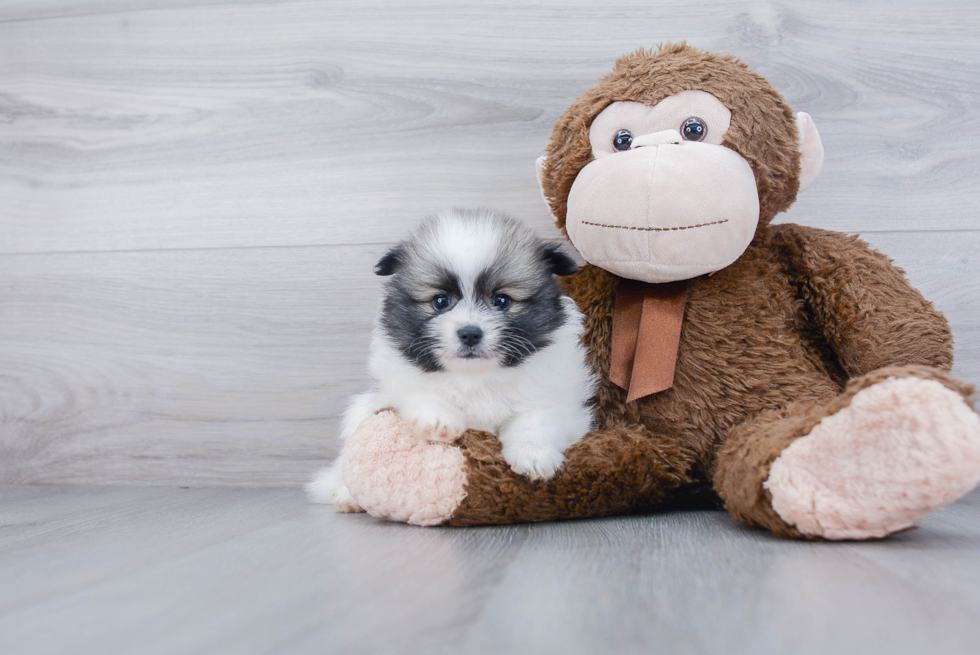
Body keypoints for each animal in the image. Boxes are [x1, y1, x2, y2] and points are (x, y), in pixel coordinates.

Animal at [306, 208, 596, 510]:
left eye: (501, 301)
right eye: (441, 301)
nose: (470, 333)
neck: (475, 376)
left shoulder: (558, 400)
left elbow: (535, 420)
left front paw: (534, 455)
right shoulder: (395, 387)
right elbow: (420, 394)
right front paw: (439, 419)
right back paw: (347, 497)